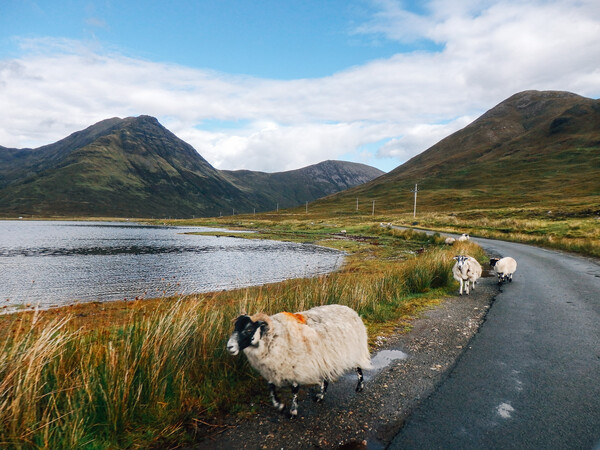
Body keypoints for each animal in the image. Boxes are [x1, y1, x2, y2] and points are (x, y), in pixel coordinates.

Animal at [227, 304, 372, 416]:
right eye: (235, 327)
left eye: (249, 329)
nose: (229, 347)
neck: (273, 337)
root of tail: (350, 310)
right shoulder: (273, 368)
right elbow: (271, 387)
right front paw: (279, 405)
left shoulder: (295, 366)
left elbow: (295, 390)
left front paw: (293, 412)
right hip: (325, 358)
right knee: (326, 377)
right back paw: (320, 396)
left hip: (353, 349)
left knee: (358, 368)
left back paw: (359, 386)